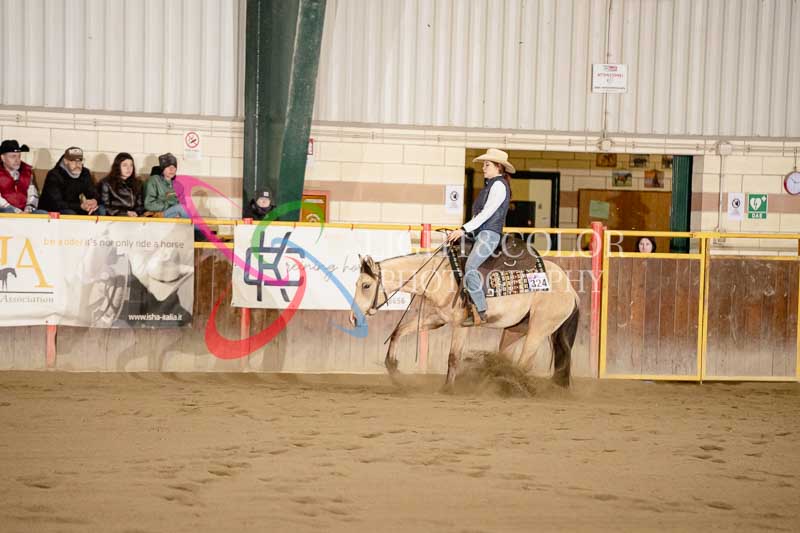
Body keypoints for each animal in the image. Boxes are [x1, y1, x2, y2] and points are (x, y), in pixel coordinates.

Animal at [349, 245, 580, 389]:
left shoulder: (461, 325)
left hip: (538, 330)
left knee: (524, 363)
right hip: (515, 330)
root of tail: (571, 290)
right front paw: (393, 368)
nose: (353, 318)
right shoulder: (435, 319)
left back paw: (506, 387)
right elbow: (398, 332)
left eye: (366, 285)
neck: (438, 276)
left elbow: (453, 357)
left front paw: (447, 388)